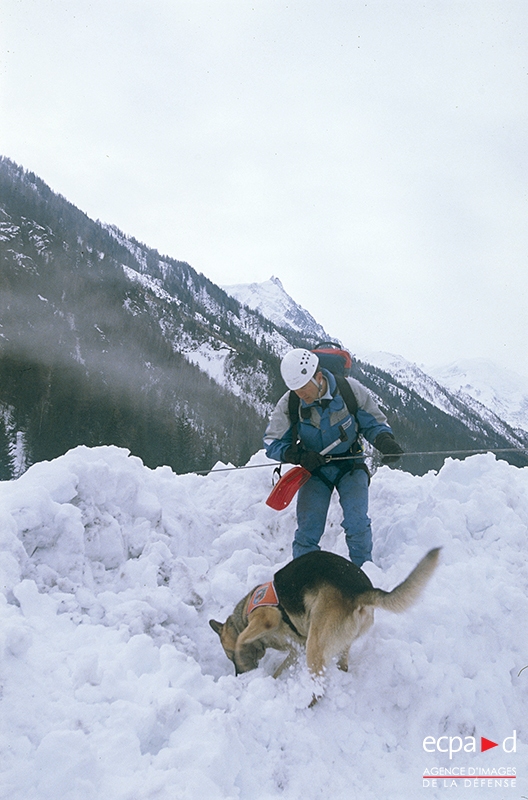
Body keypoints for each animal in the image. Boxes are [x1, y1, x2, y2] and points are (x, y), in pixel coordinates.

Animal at [210, 548, 440, 701]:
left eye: (229, 656)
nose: (239, 676)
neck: (242, 617)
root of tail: (359, 591)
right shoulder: (297, 649)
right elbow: (280, 669)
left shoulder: (267, 618)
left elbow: (242, 638)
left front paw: (242, 649)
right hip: (333, 642)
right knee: (342, 664)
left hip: (315, 645)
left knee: (319, 686)